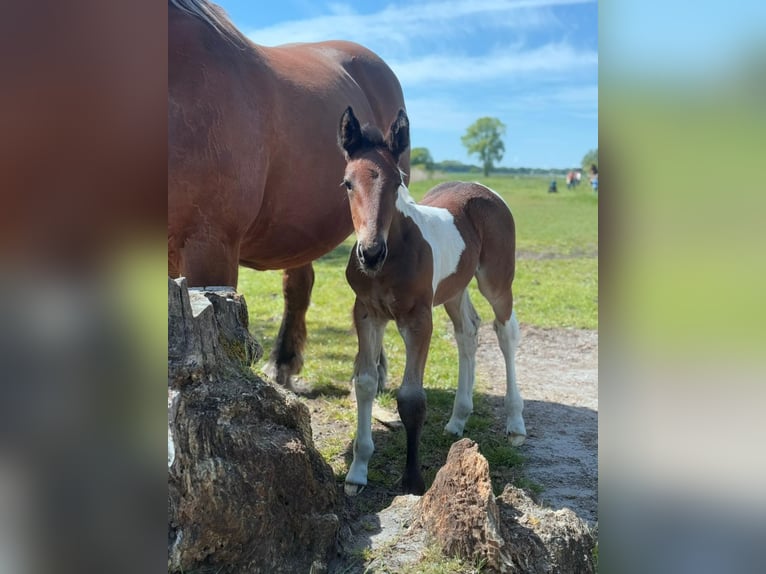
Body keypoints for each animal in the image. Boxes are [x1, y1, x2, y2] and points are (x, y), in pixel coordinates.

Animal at [337, 106, 526, 495]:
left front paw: (412, 479)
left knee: (506, 332)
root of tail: (481, 187)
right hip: (453, 290)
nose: (370, 253)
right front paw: (358, 471)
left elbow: (411, 398)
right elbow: (365, 382)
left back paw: (515, 423)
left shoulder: (419, 318)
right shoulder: (366, 313)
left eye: (397, 183)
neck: (392, 259)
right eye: (348, 183)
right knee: (468, 331)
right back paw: (457, 420)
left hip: (497, 281)